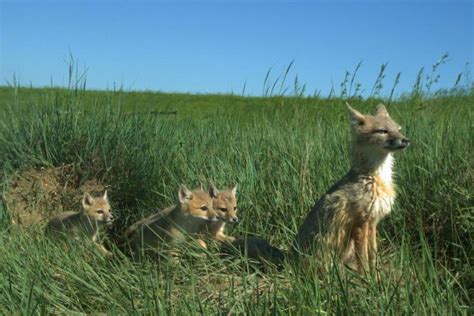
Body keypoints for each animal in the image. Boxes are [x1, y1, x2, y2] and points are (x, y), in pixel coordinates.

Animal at [294, 104, 410, 272]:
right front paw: (367, 276)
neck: (376, 178)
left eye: (398, 129)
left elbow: (373, 254)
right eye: (382, 131)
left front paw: (376, 274)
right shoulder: (360, 223)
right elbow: (363, 258)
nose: (406, 140)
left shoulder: (372, 222)